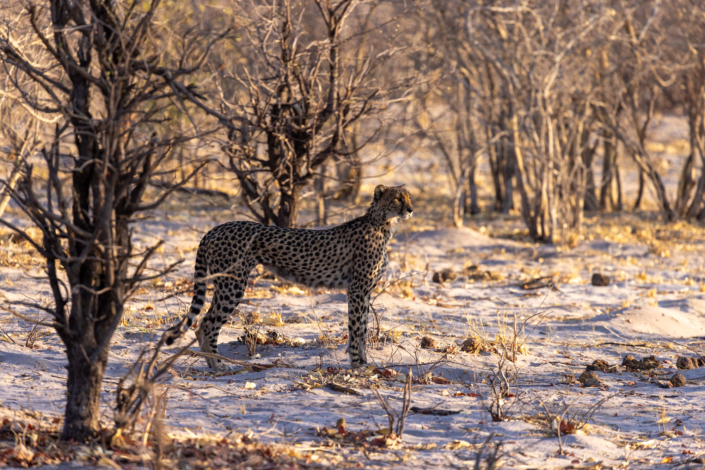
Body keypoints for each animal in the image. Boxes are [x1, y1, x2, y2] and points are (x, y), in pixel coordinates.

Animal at [164, 185, 412, 370]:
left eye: (409, 197)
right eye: (397, 199)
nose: (410, 209)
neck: (381, 224)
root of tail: (215, 229)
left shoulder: (364, 292)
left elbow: (363, 329)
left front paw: (365, 363)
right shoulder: (357, 290)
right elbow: (356, 328)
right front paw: (357, 364)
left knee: (201, 324)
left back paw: (212, 364)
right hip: (232, 284)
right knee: (207, 323)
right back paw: (218, 365)